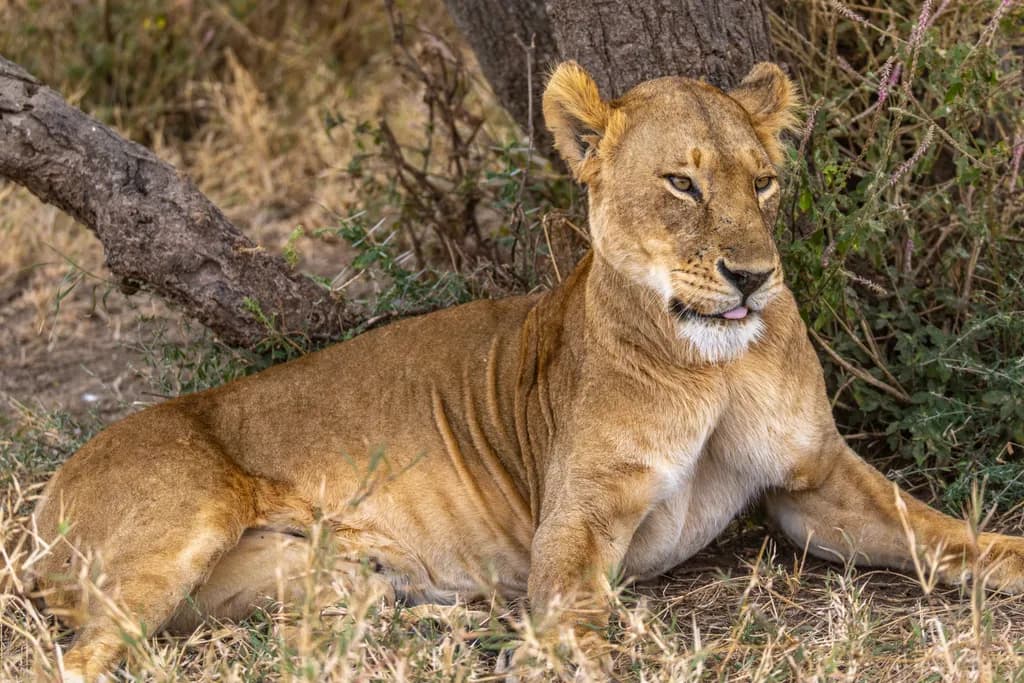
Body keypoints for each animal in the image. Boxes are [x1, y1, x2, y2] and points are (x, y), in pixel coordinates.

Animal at [28, 60, 1024, 680]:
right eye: (683, 183)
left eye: (765, 181)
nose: (753, 276)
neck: (712, 368)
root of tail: (46, 497)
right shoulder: (578, 510)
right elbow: (576, 601)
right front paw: (565, 652)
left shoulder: (812, 483)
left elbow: (942, 532)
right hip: (177, 526)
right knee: (75, 656)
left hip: (325, 581)